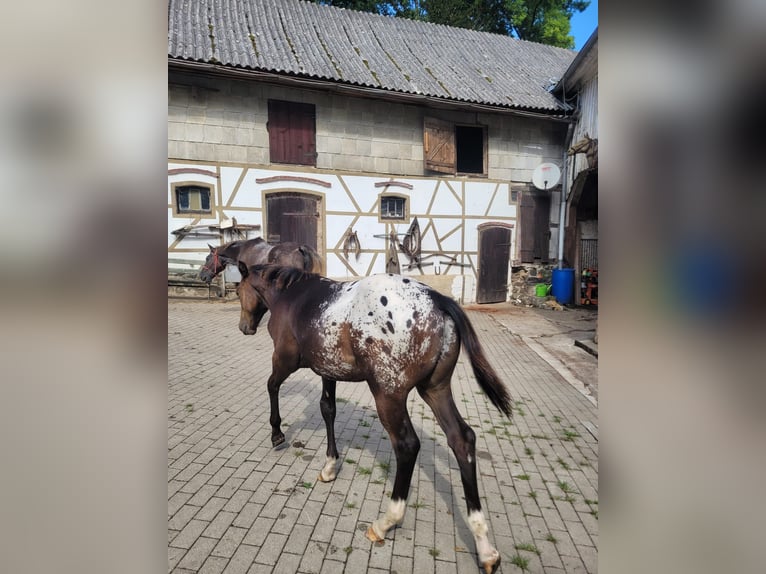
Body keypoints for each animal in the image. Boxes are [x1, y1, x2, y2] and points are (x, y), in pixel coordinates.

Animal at [237, 266, 512, 574]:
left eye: (238, 289)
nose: (244, 327)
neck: (292, 295)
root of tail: (437, 300)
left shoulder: (284, 359)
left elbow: (272, 386)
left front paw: (277, 433)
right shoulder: (328, 370)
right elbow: (327, 409)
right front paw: (330, 466)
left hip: (387, 395)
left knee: (407, 445)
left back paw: (385, 522)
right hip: (435, 389)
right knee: (462, 439)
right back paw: (485, 547)